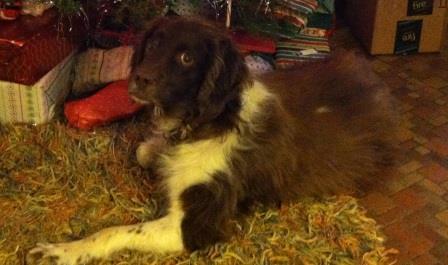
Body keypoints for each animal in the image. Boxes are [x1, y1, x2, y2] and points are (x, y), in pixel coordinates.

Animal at [29, 17, 398, 264]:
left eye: (186, 58)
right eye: (153, 45)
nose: (138, 79)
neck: (208, 121)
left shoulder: (194, 225)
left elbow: (114, 230)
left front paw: (64, 250)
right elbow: (145, 150)